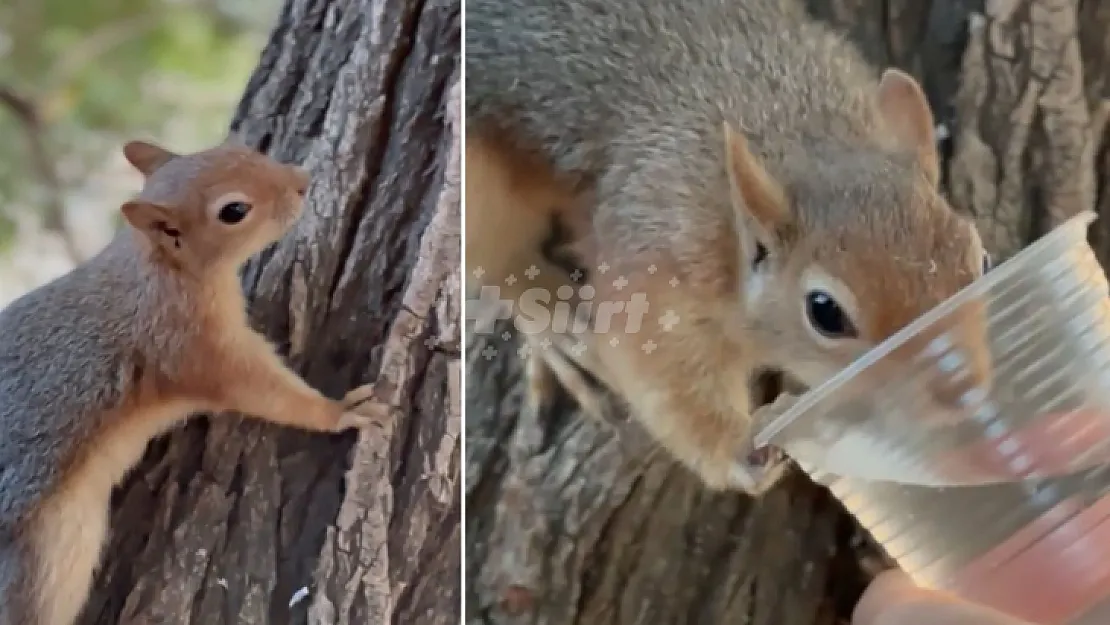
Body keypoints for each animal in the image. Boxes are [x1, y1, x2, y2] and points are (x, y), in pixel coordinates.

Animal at [0, 138, 392, 625]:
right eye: (234, 211)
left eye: (236, 147)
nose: (303, 181)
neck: (163, 270)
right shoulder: (197, 351)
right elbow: (267, 392)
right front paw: (340, 411)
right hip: (44, 564)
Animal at [463, 0, 994, 497]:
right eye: (825, 313)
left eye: (981, 260)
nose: (963, 391)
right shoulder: (657, 261)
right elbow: (661, 377)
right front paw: (739, 449)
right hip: (478, 188)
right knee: (496, 266)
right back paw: (554, 322)